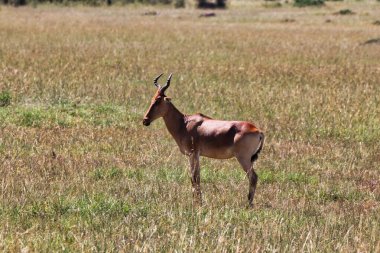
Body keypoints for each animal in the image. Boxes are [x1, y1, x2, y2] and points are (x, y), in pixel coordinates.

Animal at [142, 73, 264, 208]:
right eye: (152, 99)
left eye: (158, 100)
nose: (145, 120)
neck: (184, 123)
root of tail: (258, 130)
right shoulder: (196, 155)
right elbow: (196, 177)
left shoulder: (193, 154)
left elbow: (194, 177)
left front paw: (198, 203)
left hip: (243, 158)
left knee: (253, 177)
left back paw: (248, 204)